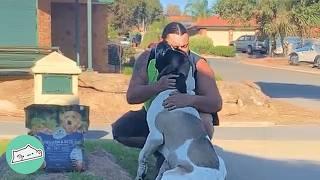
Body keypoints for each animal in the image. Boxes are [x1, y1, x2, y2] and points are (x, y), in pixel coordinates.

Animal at [136, 41, 228, 179]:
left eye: (166, 52)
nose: (164, 42)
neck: (177, 88)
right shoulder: (168, 157)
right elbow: (161, 169)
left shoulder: (155, 136)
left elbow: (142, 156)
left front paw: (141, 173)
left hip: (171, 174)